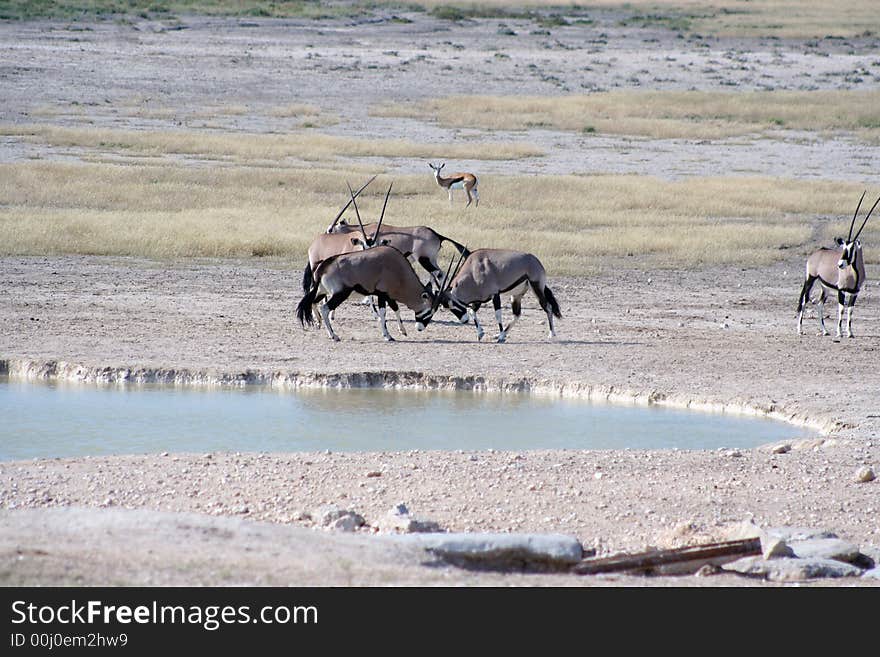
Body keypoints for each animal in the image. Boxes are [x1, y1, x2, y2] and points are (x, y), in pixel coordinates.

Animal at [298, 243, 458, 340]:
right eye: (430, 311)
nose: (420, 328)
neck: (398, 269)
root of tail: (324, 265)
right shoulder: (382, 294)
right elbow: (384, 312)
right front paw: (387, 335)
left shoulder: (388, 295)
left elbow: (396, 308)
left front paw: (402, 330)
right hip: (340, 294)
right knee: (325, 307)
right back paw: (334, 335)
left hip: (322, 291)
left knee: (313, 302)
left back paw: (318, 323)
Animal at [796, 192, 876, 338]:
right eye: (843, 247)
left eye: (852, 248)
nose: (840, 264)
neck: (854, 273)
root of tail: (817, 253)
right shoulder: (841, 290)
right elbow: (841, 309)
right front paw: (839, 333)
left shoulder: (855, 293)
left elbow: (850, 311)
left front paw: (850, 332)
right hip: (810, 279)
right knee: (804, 300)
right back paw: (800, 330)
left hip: (825, 287)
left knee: (819, 304)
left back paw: (825, 331)